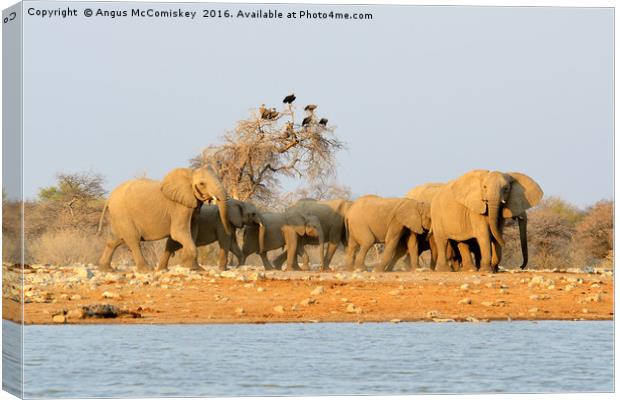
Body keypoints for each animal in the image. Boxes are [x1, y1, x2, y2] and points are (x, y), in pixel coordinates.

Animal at [98, 167, 229, 274]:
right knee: (133, 239)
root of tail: (109, 198)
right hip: (123, 213)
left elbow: (187, 234)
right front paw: (193, 268)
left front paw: (194, 268)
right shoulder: (179, 206)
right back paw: (147, 270)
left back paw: (107, 269)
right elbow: (178, 232)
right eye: (202, 184)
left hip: (118, 216)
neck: (189, 174)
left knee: (113, 240)